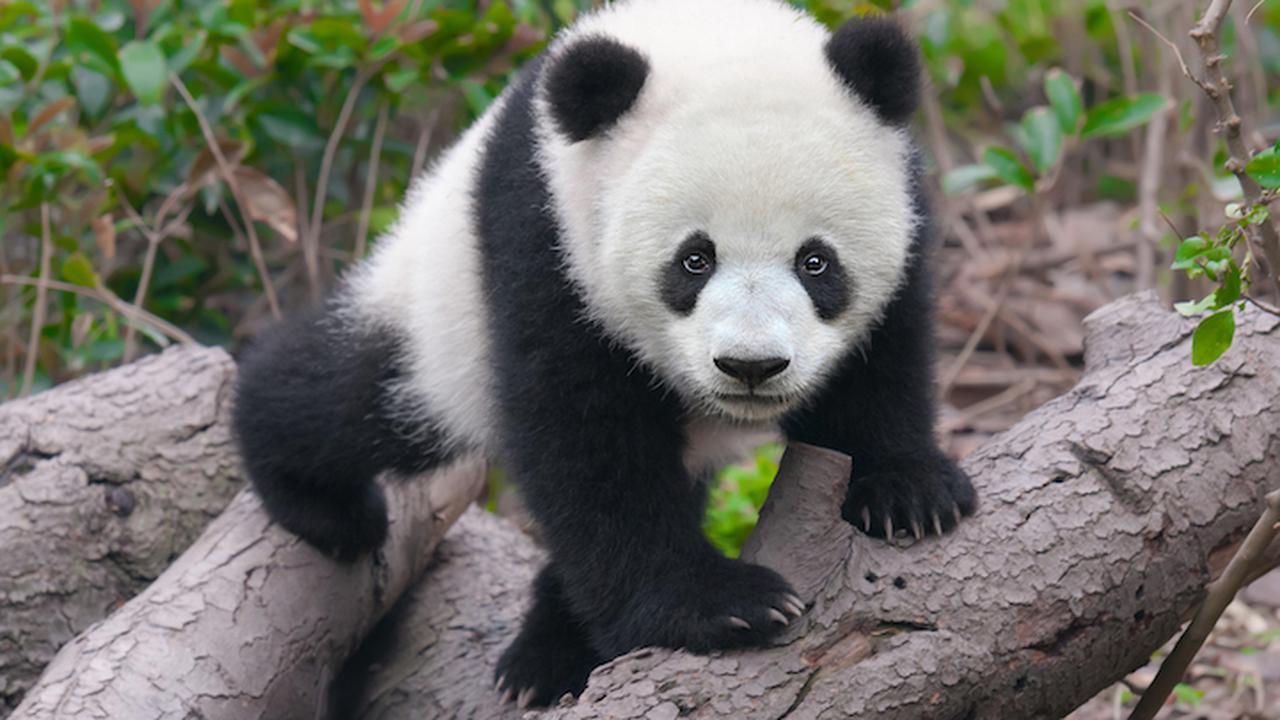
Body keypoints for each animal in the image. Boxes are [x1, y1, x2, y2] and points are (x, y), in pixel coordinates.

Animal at [232, 0, 977, 708]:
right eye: (694, 259)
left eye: (816, 262)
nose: (751, 367)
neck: (705, 31)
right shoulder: (547, 233)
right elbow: (585, 440)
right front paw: (720, 607)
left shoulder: (904, 215)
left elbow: (881, 368)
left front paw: (908, 493)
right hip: (438, 319)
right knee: (356, 399)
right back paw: (318, 500)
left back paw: (547, 647)